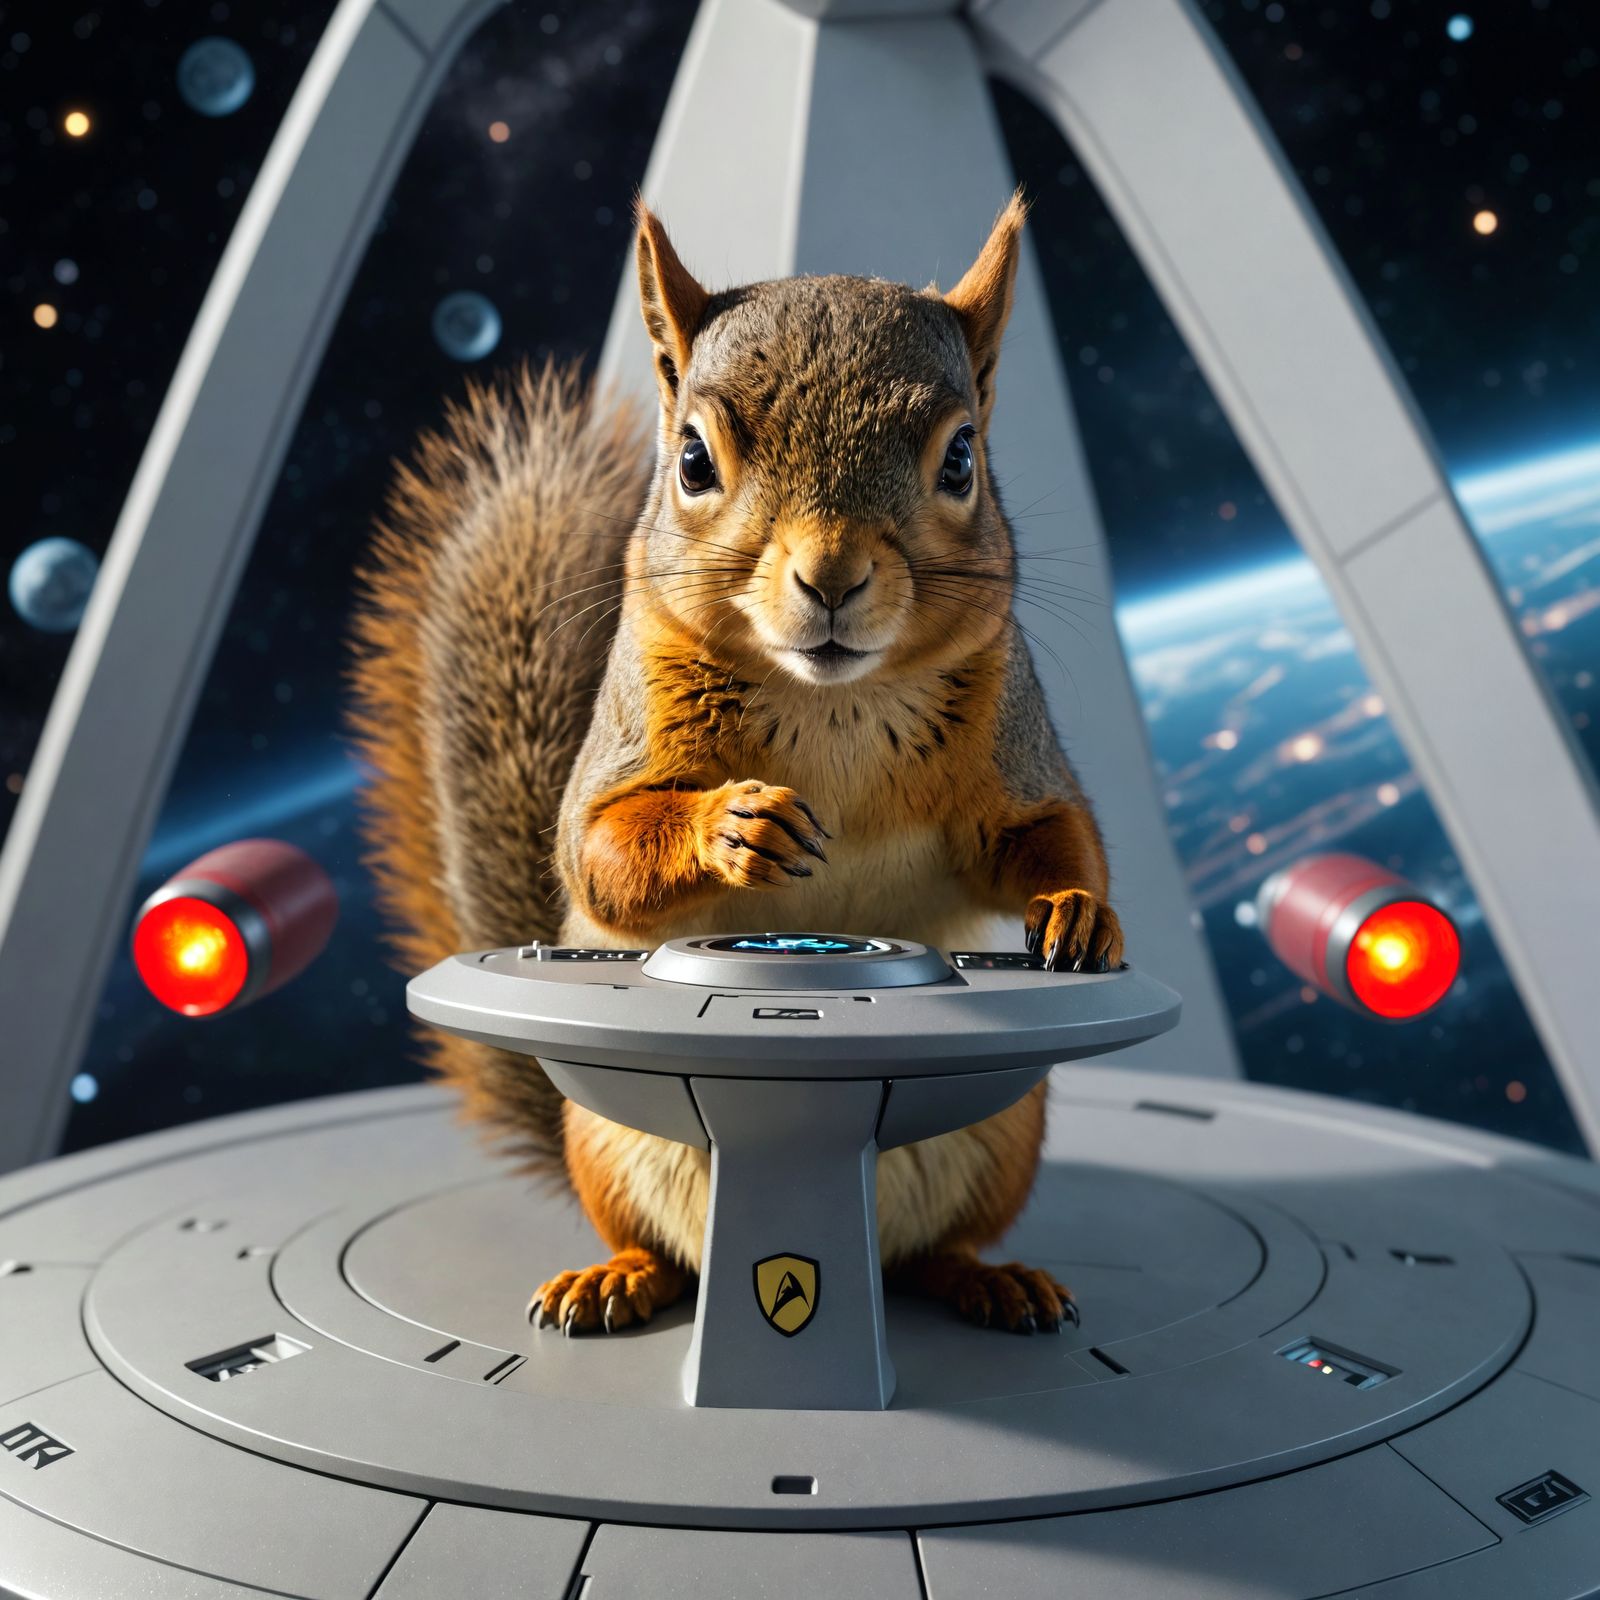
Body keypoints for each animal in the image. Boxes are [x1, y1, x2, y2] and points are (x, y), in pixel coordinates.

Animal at [350, 190, 1124, 1340]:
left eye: (961, 460)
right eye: (692, 461)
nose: (832, 577)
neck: (830, 702)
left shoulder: (1010, 736)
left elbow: (1046, 829)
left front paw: (1077, 910)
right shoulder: (628, 733)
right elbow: (597, 852)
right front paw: (734, 825)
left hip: (1007, 1127)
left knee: (940, 1248)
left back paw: (989, 1279)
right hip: (609, 1141)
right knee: (658, 1245)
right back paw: (615, 1278)